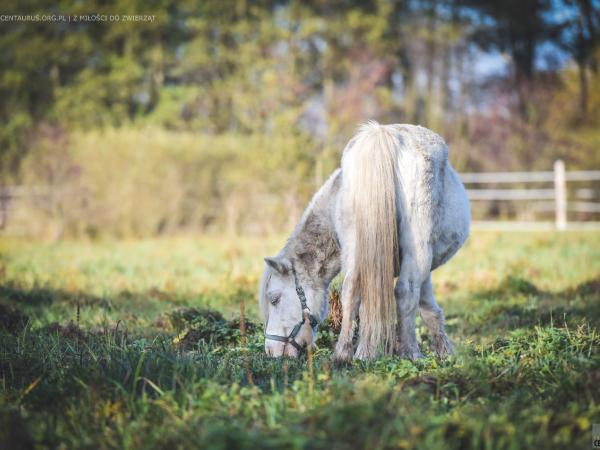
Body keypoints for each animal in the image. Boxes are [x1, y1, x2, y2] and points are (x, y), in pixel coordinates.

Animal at [260, 121, 472, 360]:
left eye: (274, 299)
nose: (271, 351)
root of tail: (382, 134)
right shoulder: (423, 263)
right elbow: (426, 306)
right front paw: (444, 351)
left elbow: (427, 307)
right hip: (416, 248)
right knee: (404, 291)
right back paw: (409, 353)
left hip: (357, 244)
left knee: (351, 291)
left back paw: (345, 354)